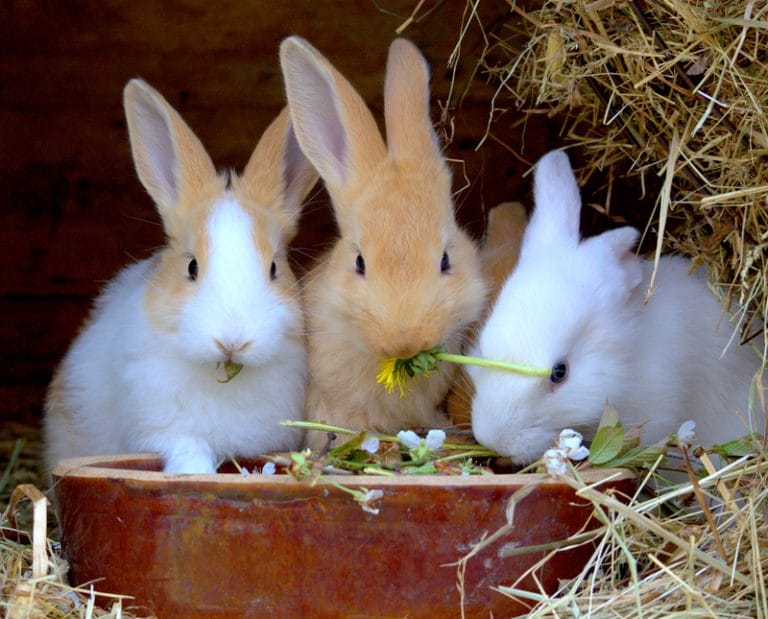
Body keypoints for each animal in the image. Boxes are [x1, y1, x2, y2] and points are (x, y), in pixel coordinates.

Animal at [42, 77, 318, 474]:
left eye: (274, 269)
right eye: (192, 267)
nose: (232, 341)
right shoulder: (160, 431)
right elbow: (188, 449)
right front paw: (196, 473)